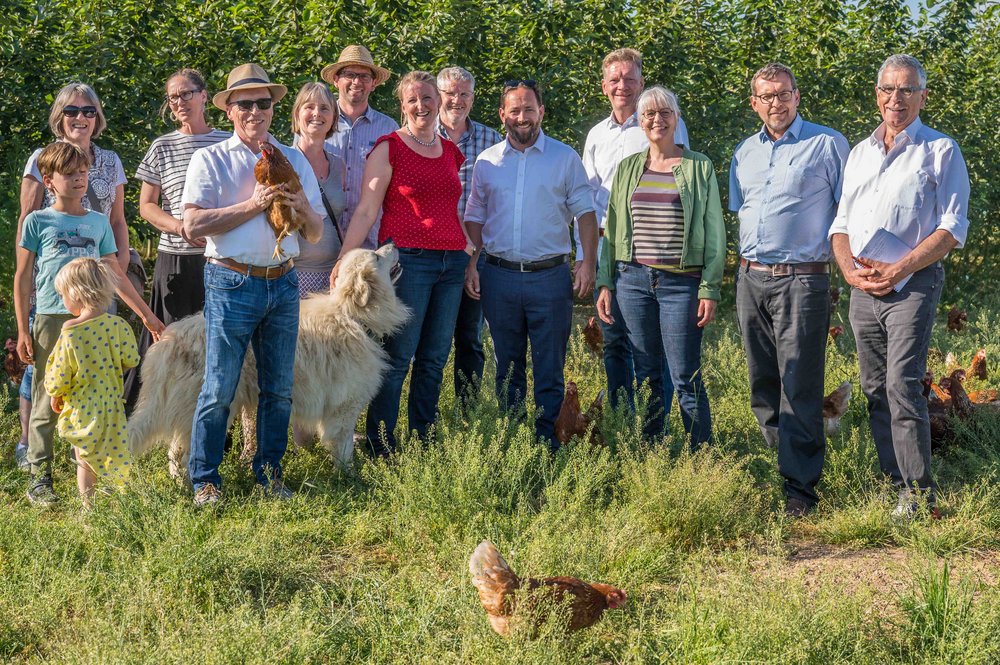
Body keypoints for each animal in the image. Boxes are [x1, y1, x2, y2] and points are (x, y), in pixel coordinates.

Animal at [129, 244, 410, 478]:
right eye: (376, 256)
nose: (393, 243)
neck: (353, 316)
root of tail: (168, 340)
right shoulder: (344, 409)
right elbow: (344, 449)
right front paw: (350, 478)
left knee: (175, 451)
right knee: (187, 449)